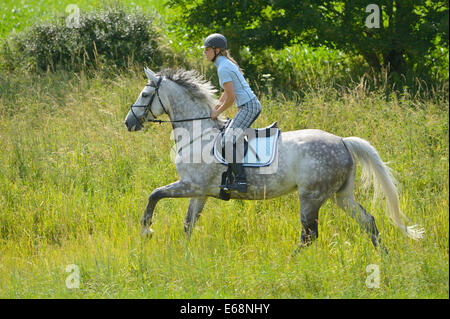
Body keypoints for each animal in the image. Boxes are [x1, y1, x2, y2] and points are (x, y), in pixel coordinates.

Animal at [122, 67, 422, 252]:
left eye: (145, 94)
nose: (129, 123)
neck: (198, 133)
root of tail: (342, 141)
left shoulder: (191, 185)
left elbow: (154, 195)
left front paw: (147, 230)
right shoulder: (200, 192)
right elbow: (188, 224)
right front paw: (183, 252)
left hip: (311, 196)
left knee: (309, 235)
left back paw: (291, 261)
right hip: (341, 195)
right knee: (367, 221)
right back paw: (383, 256)